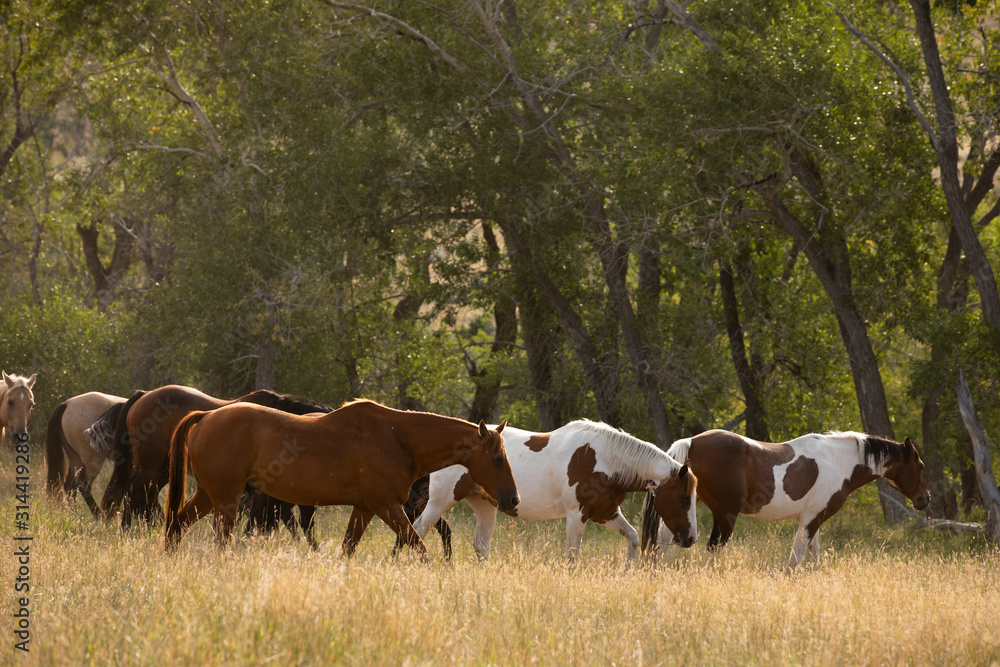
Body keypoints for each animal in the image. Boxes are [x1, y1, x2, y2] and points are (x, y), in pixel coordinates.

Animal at [99, 385, 328, 545]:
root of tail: (144, 395)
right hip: (151, 466)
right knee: (140, 493)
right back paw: (140, 530)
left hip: (165, 468)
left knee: (137, 492)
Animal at [164, 400, 519, 555]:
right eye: (498, 459)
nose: (513, 500)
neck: (399, 438)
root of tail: (207, 415)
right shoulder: (387, 506)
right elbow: (419, 548)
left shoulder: (364, 509)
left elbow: (348, 549)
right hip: (226, 500)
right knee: (217, 540)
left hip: (209, 496)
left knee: (176, 527)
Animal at [410, 419, 697, 563]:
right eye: (684, 498)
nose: (691, 538)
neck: (606, 458)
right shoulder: (577, 515)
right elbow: (572, 556)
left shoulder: (605, 513)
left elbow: (633, 538)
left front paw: (627, 572)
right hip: (440, 501)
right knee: (418, 530)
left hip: (485, 505)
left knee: (481, 546)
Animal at [642, 429, 931, 572]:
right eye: (921, 466)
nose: (924, 500)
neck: (839, 459)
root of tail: (692, 441)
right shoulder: (811, 519)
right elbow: (797, 555)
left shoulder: (815, 518)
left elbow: (813, 555)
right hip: (724, 516)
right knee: (714, 549)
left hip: (681, 510)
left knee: (663, 543)